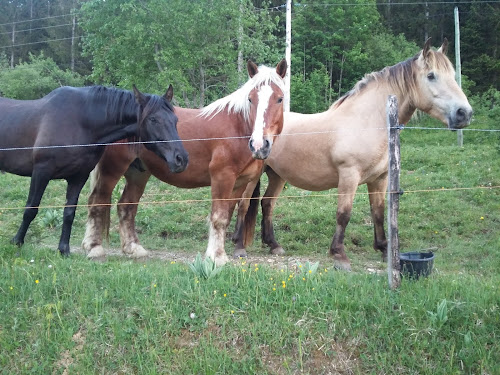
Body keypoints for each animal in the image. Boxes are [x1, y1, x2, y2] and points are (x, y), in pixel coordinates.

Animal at [0, 85, 188, 256]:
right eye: (153, 119)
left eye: (175, 120)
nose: (181, 159)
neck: (79, 122)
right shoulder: (41, 172)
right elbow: (31, 209)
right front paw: (17, 242)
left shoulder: (78, 177)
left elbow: (69, 213)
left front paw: (64, 250)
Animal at [83, 60, 288, 266]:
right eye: (250, 99)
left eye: (279, 99)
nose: (259, 144)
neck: (237, 128)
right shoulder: (222, 178)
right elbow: (218, 217)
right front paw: (216, 257)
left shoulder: (239, 183)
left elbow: (227, 215)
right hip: (112, 168)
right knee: (97, 201)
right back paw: (94, 248)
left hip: (138, 173)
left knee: (126, 206)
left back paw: (134, 249)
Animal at [230, 39, 472, 270]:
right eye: (431, 76)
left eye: (452, 74)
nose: (464, 113)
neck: (367, 122)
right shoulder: (349, 175)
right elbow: (344, 214)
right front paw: (340, 255)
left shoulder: (380, 179)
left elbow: (378, 211)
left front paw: (384, 249)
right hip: (256, 174)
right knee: (243, 203)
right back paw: (239, 246)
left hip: (277, 175)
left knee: (267, 204)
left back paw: (273, 245)